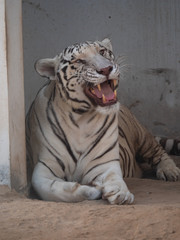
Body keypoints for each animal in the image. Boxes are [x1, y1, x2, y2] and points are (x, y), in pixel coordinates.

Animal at [25, 38, 180, 203]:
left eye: (102, 51)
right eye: (79, 60)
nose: (106, 69)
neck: (81, 118)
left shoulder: (104, 164)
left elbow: (114, 178)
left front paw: (121, 193)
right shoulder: (44, 169)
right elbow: (55, 189)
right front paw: (92, 190)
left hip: (142, 136)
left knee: (160, 152)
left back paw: (170, 171)